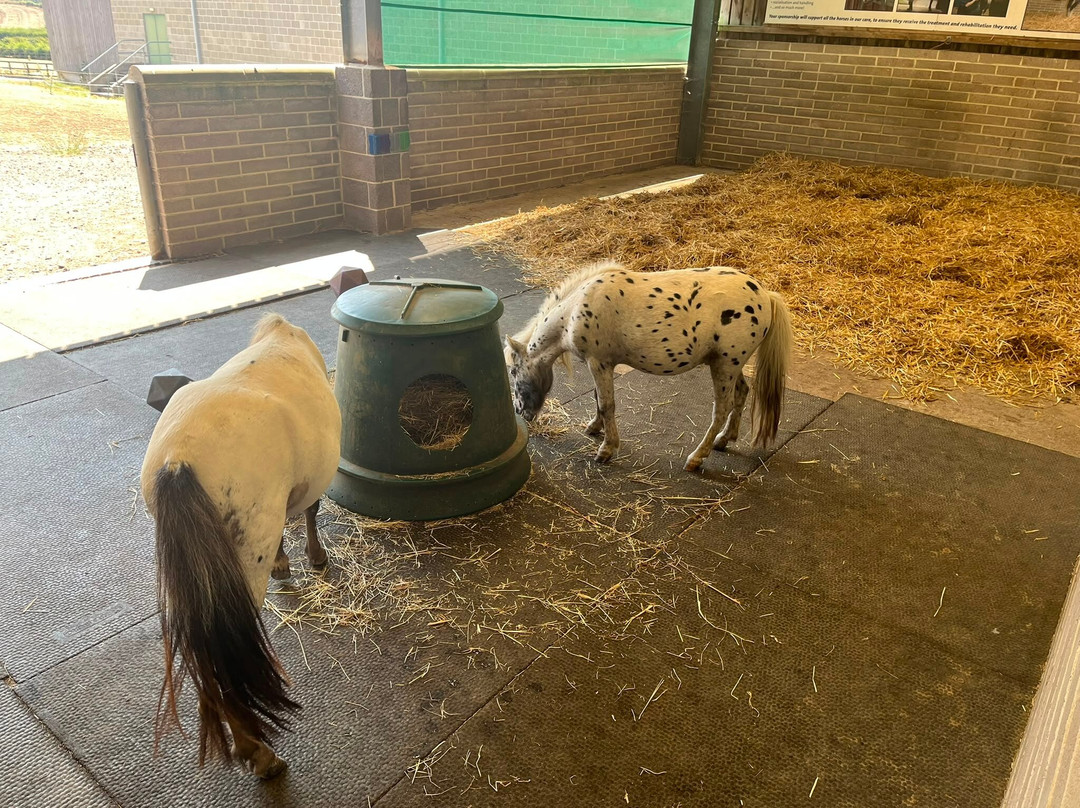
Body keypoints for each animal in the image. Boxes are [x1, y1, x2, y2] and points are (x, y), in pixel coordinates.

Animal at [141, 313, 342, 778]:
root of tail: (178, 460)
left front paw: (286, 562)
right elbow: (310, 510)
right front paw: (313, 557)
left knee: (203, 655)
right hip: (240, 571)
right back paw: (258, 752)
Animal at [505, 262, 793, 471]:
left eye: (513, 371)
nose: (520, 412)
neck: (574, 311)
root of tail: (766, 295)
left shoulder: (599, 362)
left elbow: (606, 404)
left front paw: (607, 449)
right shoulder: (599, 365)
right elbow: (599, 399)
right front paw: (594, 428)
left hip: (724, 366)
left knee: (721, 410)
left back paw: (696, 458)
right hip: (729, 365)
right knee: (741, 394)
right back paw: (724, 440)